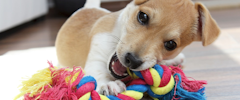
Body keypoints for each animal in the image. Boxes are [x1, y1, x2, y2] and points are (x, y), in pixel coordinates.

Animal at [55, 0, 220, 95]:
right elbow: (98, 72)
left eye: (171, 44)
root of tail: (87, 7)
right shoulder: (96, 58)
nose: (132, 60)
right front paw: (108, 84)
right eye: (143, 16)